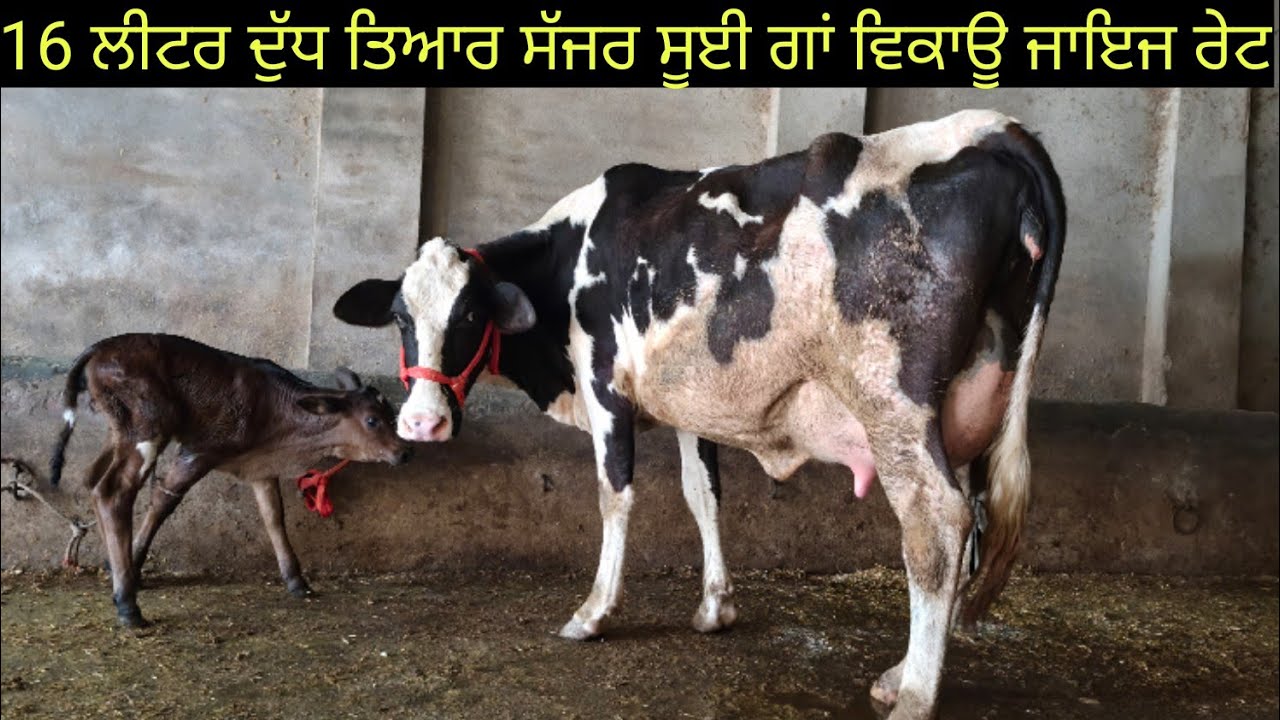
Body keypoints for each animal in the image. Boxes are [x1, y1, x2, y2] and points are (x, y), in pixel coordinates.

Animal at [47, 332, 414, 628]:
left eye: (391, 413)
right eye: (372, 420)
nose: (405, 451)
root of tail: (100, 348)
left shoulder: (260, 467)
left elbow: (274, 517)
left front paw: (297, 580)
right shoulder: (200, 450)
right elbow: (163, 501)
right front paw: (130, 568)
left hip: (120, 431)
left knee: (92, 479)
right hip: (146, 427)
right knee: (113, 492)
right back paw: (127, 603)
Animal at [331, 108, 1066, 719]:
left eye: (470, 316)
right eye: (401, 318)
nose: (422, 423)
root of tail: (990, 128)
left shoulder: (605, 387)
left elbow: (615, 495)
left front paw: (594, 612)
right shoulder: (687, 405)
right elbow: (702, 494)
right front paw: (715, 606)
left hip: (894, 403)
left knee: (934, 525)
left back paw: (914, 694)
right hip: (966, 403)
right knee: (967, 521)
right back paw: (900, 673)